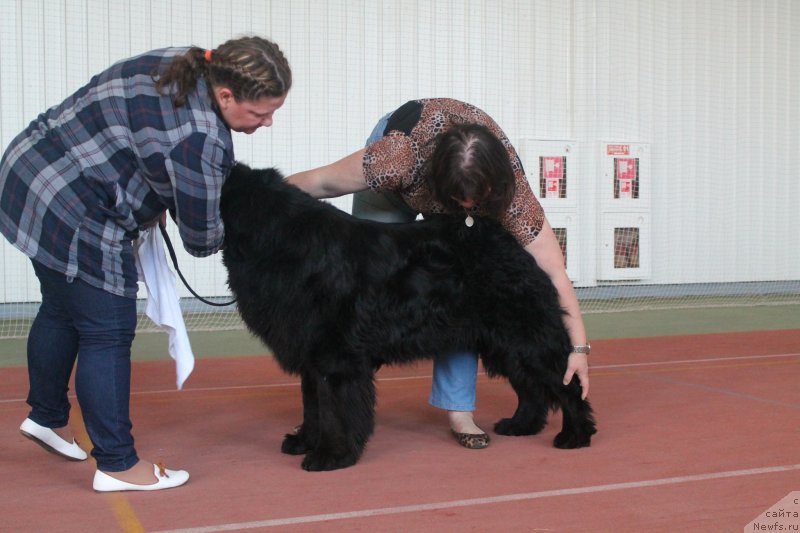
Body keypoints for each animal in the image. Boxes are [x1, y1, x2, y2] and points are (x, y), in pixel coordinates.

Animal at [219, 163, 592, 470]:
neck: (283, 243)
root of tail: (508, 241)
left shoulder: (336, 358)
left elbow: (333, 410)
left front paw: (331, 455)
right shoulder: (311, 355)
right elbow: (313, 407)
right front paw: (304, 441)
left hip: (524, 335)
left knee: (565, 383)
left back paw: (575, 435)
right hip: (503, 342)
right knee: (530, 388)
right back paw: (521, 425)